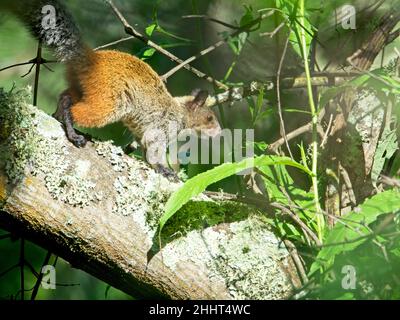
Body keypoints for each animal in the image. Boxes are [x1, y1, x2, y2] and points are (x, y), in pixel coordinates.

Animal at [2, 0, 222, 178]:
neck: (180, 111)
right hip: (109, 103)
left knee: (65, 98)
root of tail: (91, 60)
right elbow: (154, 151)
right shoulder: (161, 127)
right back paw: (73, 133)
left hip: (82, 88)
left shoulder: (143, 132)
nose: (219, 132)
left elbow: (145, 150)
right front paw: (164, 170)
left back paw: (58, 115)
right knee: (75, 111)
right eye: (209, 117)